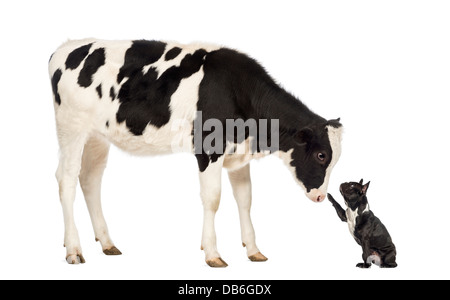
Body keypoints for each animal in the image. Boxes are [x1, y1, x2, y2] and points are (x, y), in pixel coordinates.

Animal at [49, 38, 342, 266]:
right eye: (321, 155)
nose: (320, 196)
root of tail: (65, 48)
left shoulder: (238, 156)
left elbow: (245, 200)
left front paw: (253, 250)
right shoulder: (208, 150)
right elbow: (213, 199)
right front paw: (213, 253)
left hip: (97, 137)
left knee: (90, 180)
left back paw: (107, 243)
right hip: (71, 128)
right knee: (66, 180)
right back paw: (74, 249)